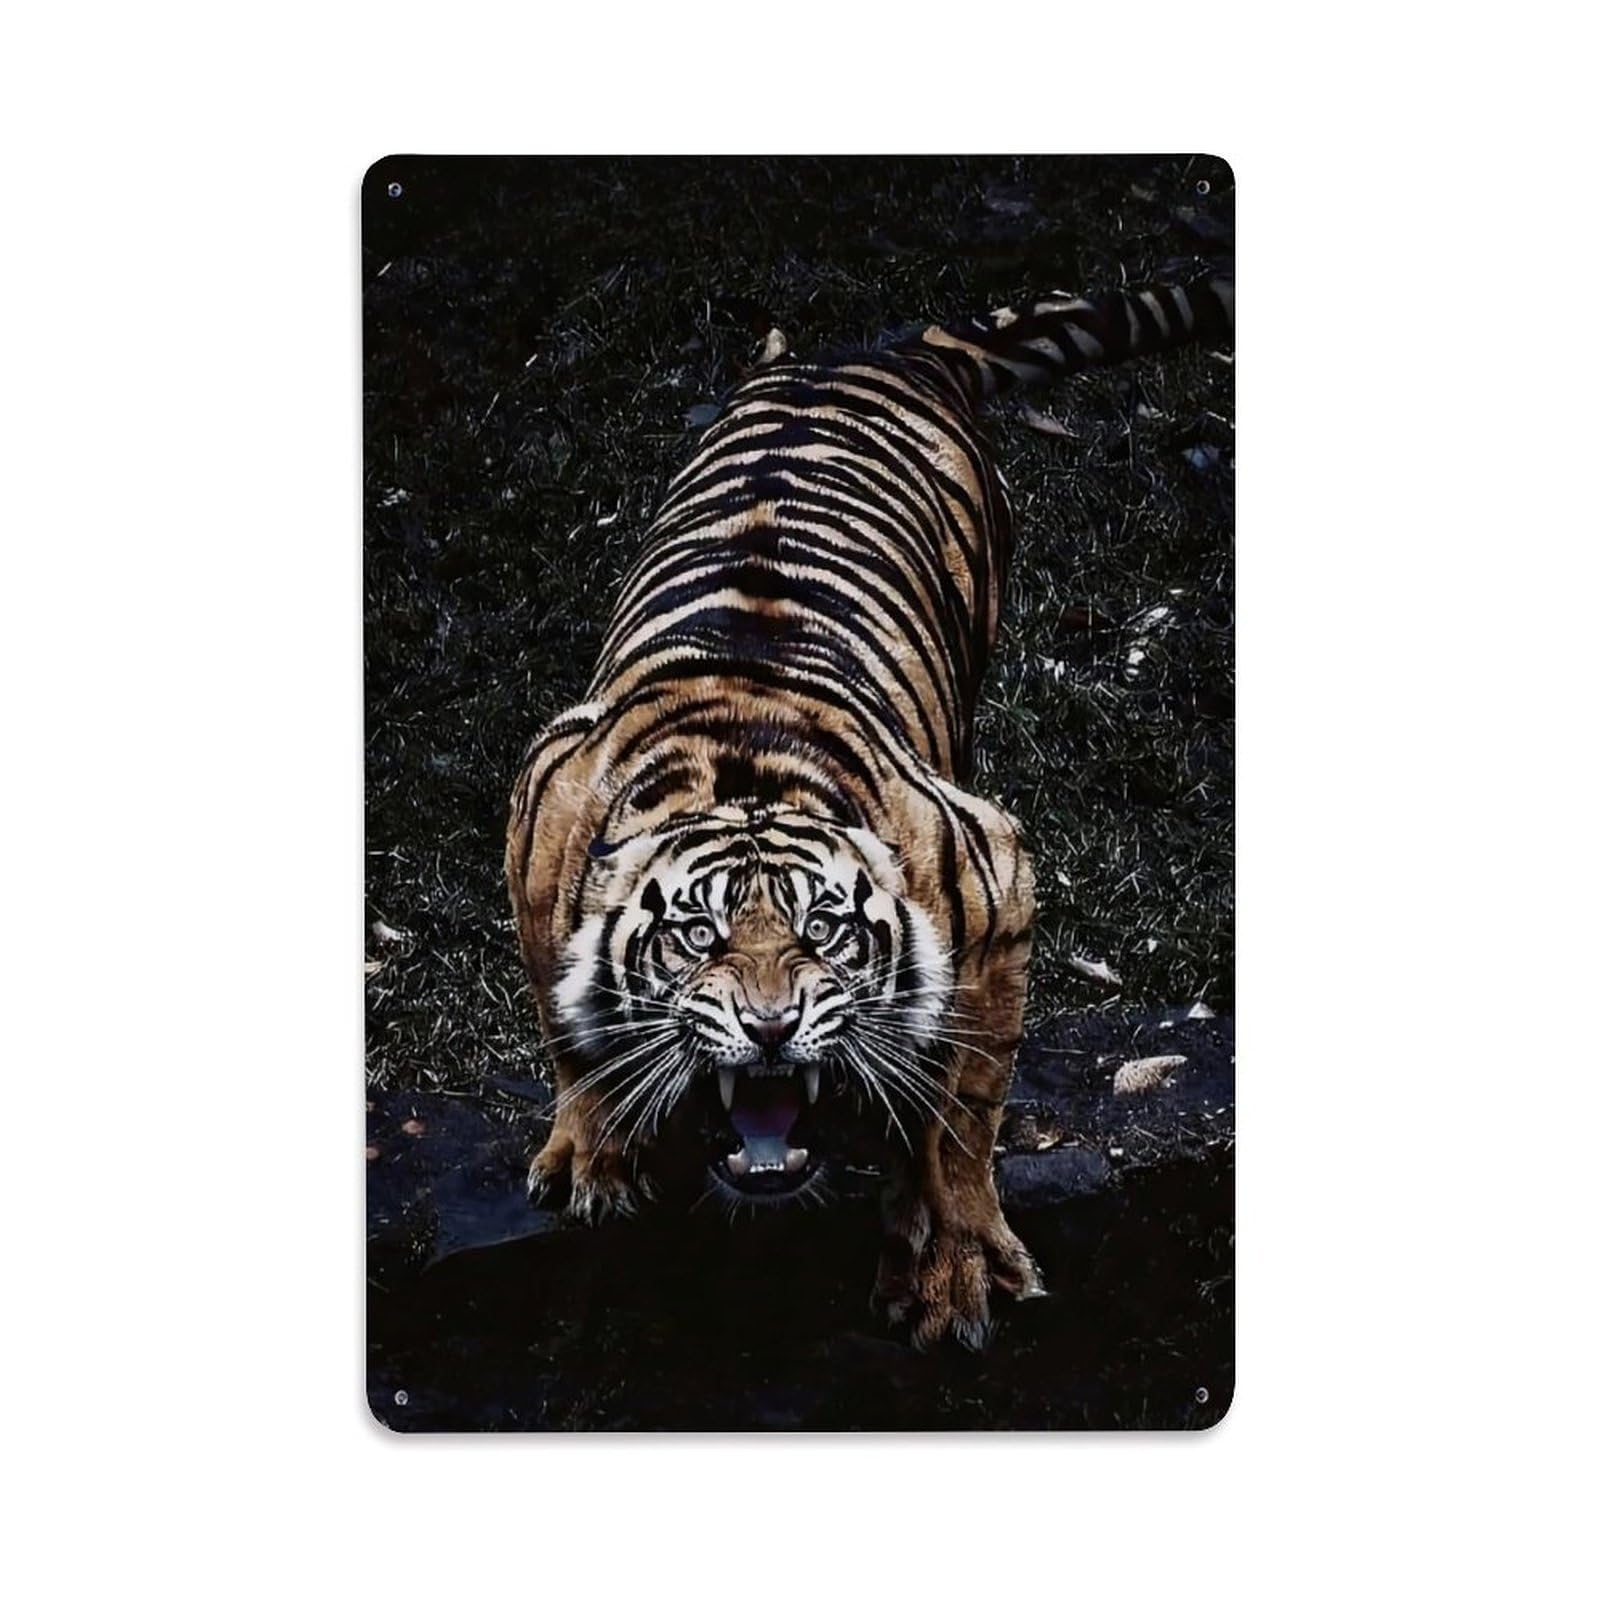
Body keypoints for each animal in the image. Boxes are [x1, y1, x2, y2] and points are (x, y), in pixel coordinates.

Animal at [505, 271, 1234, 1349]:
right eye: (695, 935)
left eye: (824, 930)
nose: (770, 1028)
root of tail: (877, 346)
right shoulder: (537, 815)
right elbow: (564, 1027)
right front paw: (593, 1154)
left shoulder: (996, 881)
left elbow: (960, 1113)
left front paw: (955, 1270)